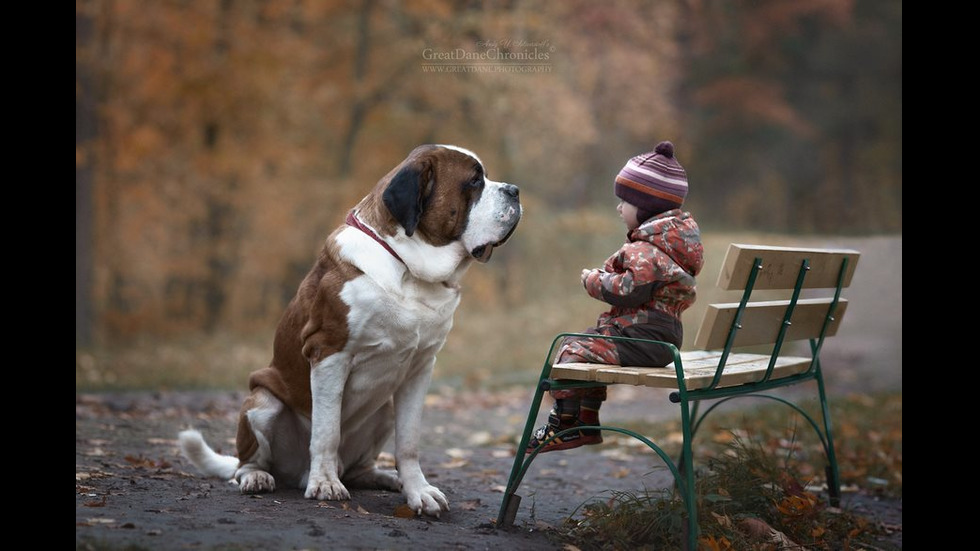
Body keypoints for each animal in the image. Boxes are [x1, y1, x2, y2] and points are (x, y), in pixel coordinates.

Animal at [177, 143, 520, 516]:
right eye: (473, 182)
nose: (515, 190)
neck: (407, 269)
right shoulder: (329, 353)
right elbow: (327, 431)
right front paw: (325, 483)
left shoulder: (420, 368)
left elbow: (409, 442)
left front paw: (419, 491)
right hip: (262, 402)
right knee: (246, 462)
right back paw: (258, 477)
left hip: (384, 407)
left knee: (359, 466)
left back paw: (385, 477)